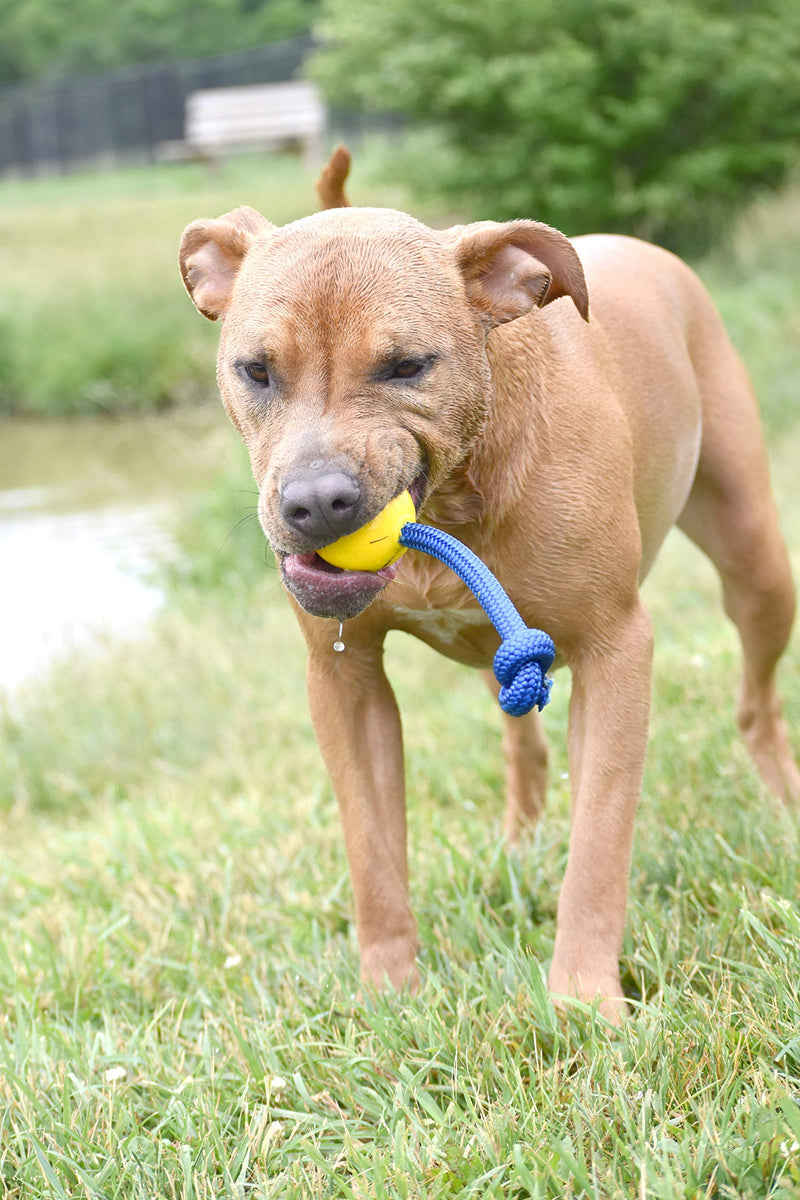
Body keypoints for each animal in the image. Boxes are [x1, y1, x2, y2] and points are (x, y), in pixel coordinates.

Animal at [181, 145, 800, 1017]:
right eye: (256, 371)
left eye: (407, 366)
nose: (314, 502)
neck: (454, 499)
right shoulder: (345, 678)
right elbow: (373, 855)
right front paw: (388, 993)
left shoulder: (615, 650)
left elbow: (599, 848)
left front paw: (583, 1000)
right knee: (522, 743)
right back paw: (520, 842)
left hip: (756, 561)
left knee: (756, 700)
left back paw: (780, 798)